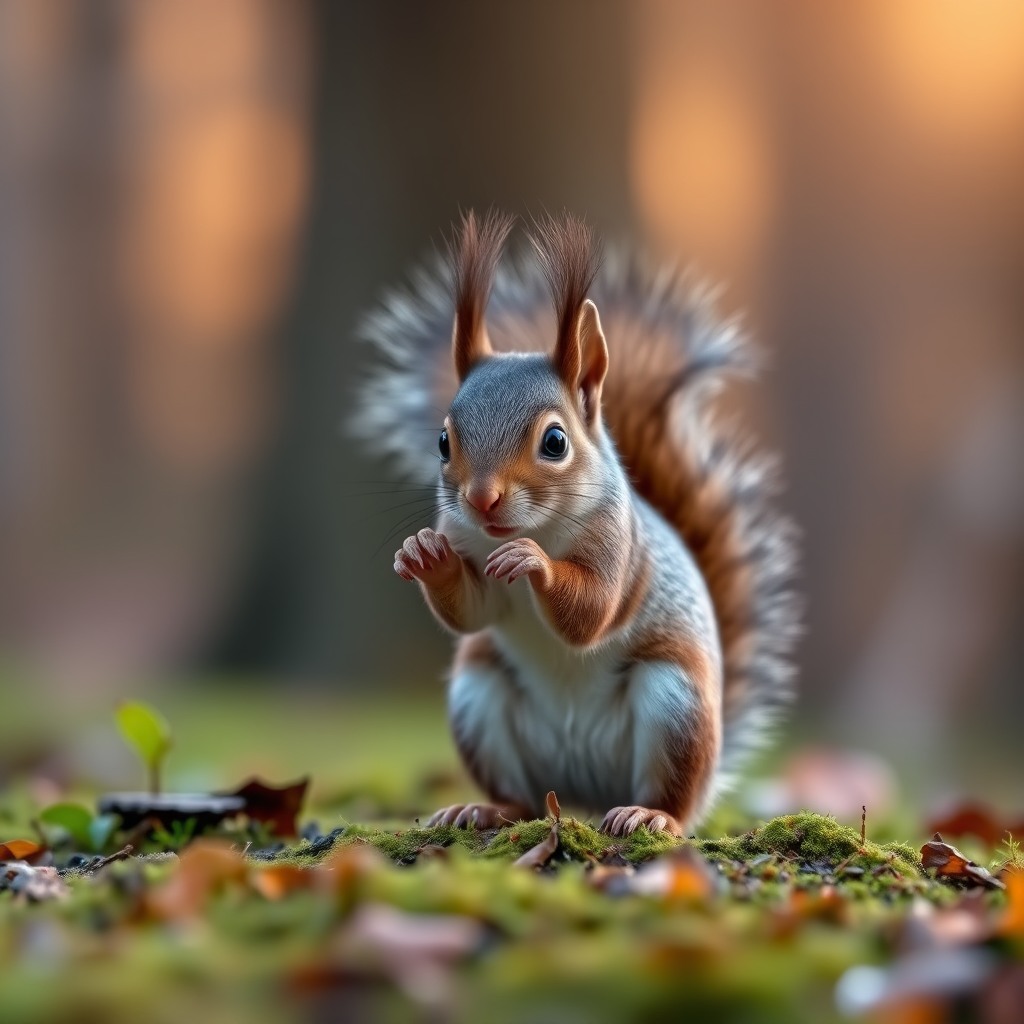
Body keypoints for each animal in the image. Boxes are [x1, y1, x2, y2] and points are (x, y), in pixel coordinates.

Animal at [354, 210, 800, 837]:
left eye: (555, 441)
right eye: (443, 441)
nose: (481, 499)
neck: (537, 525)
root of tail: (584, 789)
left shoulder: (618, 545)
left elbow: (592, 612)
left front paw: (533, 563)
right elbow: (473, 612)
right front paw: (425, 555)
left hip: (676, 704)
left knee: (677, 802)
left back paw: (649, 814)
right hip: (478, 695)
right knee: (520, 797)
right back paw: (483, 808)